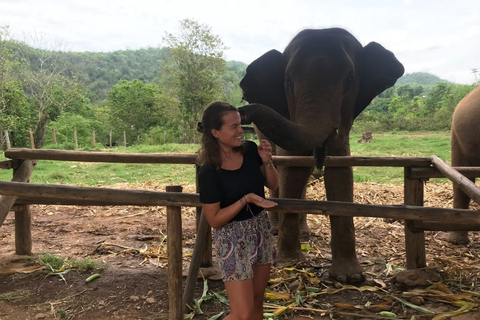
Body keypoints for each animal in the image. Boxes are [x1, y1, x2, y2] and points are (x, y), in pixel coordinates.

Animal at [238, 28, 404, 282]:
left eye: (349, 80)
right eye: (288, 81)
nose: (241, 111)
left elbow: (340, 173)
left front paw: (349, 277)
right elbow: (292, 170)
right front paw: (290, 263)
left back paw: (305, 233)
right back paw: (275, 230)